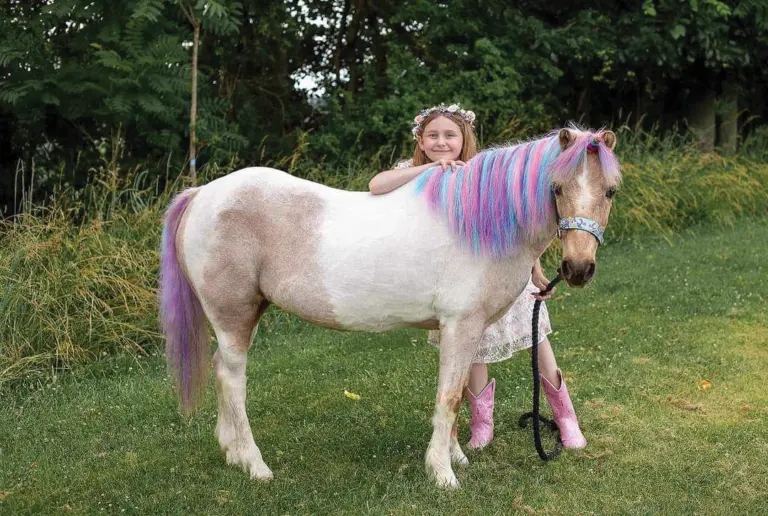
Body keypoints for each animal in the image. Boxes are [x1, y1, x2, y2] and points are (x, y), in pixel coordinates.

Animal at [159, 127, 621, 488]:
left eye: (610, 191)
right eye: (557, 188)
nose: (577, 268)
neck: (478, 224)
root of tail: (202, 194)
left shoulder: (463, 330)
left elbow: (456, 394)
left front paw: (456, 456)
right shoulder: (461, 325)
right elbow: (448, 397)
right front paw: (442, 475)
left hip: (243, 317)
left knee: (220, 371)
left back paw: (232, 452)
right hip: (233, 316)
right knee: (232, 380)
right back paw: (256, 466)